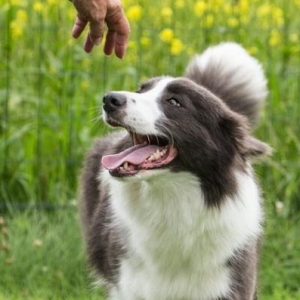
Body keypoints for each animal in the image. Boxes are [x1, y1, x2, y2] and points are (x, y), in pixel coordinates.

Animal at [79, 42, 270, 300]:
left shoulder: (231, 282)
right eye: (141, 90)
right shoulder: (128, 285)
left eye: (174, 102)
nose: (110, 99)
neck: (172, 199)